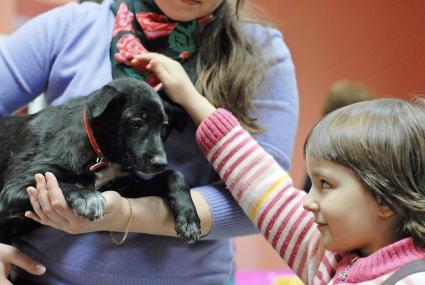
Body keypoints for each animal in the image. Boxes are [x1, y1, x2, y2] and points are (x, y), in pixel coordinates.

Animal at [0, 77, 200, 242]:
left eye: (164, 127)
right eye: (136, 122)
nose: (160, 164)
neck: (102, 155)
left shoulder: (126, 187)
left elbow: (175, 175)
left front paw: (189, 218)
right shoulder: (12, 189)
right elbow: (60, 185)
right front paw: (86, 196)